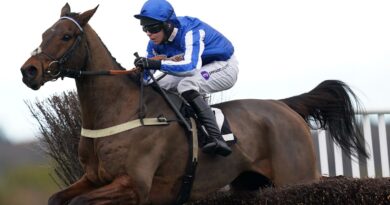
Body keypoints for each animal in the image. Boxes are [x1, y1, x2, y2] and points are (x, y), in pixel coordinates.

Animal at [20, 3, 368, 205]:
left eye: (66, 36)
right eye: (44, 33)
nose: (29, 71)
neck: (118, 112)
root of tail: (283, 105)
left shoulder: (134, 185)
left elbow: (78, 202)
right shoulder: (93, 178)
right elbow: (57, 199)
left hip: (297, 177)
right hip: (250, 183)